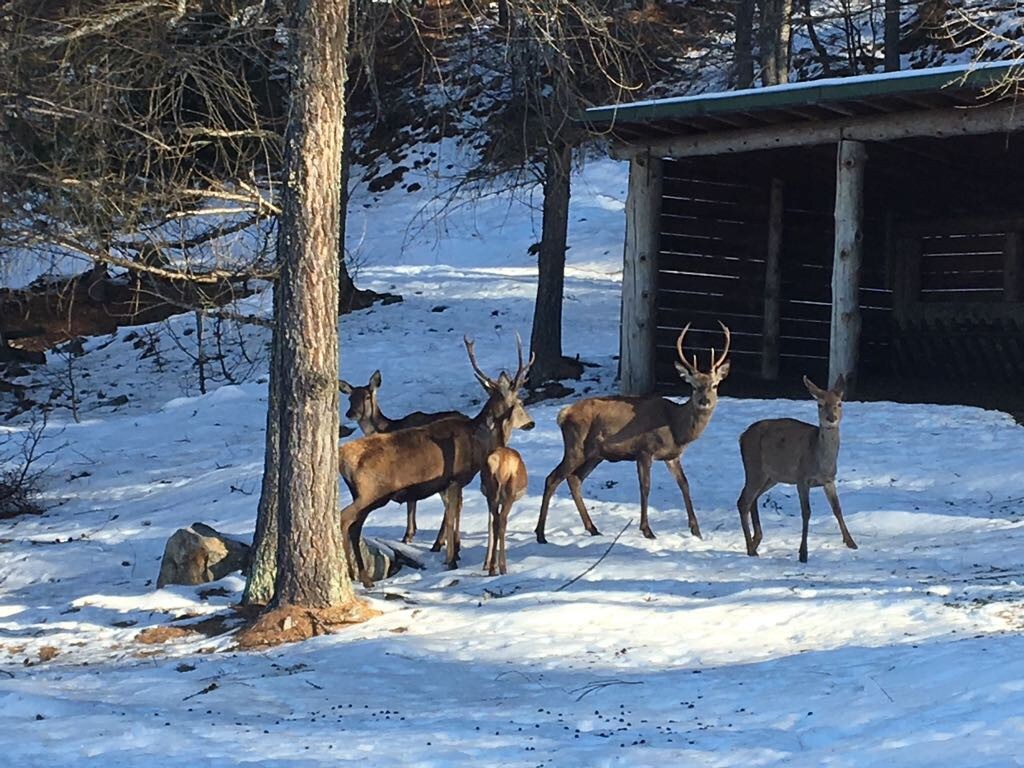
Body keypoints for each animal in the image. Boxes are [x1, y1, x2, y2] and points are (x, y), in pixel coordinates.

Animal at [335, 372, 464, 548]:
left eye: (367, 396)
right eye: (350, 398)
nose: (351, 413)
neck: (387, 428)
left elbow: (411, 502)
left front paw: (408, 535)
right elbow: (411, 500)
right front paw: (410, 534)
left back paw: (439, 542)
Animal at [479, 444, 528, 577]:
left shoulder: (488, 498)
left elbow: (489, 524)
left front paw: (486, 564)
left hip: (491, 494)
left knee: (495, 523)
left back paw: (492, 567)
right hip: (509, 495)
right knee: (502, 522)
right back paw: (502, 567)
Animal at [532, 321, 733, 544]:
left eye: (714, 385)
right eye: (694, 386)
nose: (704, 401)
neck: (676, 427)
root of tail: (563, 414)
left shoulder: (672, 456)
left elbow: (684, 485)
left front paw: (696, 531)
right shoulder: (644, 449)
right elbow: (645, 487)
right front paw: (647, 530)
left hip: (595, 455)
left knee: (574, 479)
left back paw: (593, 528)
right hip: (575, 446)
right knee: (552, 478)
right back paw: (540, 534)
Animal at [737, 374, 856, 565]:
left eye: (839, 403)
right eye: (819, 404)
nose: (831, 418)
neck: (821, 462)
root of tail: (741, 437)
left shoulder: (829, 480)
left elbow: (837, 509)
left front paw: (851, 542)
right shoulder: (802, 478)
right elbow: (806, 512)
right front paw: (803, 554)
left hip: (771, 476)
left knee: (751, 498)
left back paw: (756, 541)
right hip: (754, 465)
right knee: (743, 501)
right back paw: (750, 548)